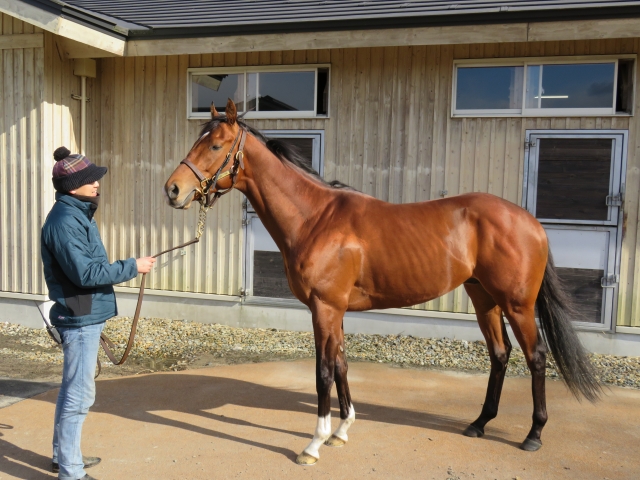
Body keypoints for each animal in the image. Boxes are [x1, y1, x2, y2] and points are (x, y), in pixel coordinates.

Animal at [164, 98, 600, 464]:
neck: (316, 218)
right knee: (500, 354)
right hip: (484, 299)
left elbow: (323, 372)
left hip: (517, 304)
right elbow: (341, 364)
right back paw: (479, 424)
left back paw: (533, 434)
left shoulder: (324, 308)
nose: (173, 190)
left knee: (536, 357)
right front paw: (341, 431)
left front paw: (313, 444)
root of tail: (530, 221)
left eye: (215, 146)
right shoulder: (336, 310)